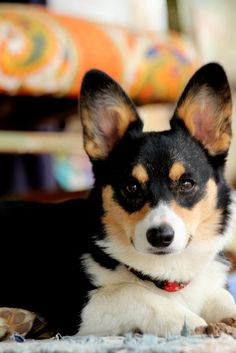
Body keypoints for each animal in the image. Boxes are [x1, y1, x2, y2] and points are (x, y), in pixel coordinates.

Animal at [0, 62, 234, 336]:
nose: (160, 237)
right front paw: (195, 324)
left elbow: (223, 297)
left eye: (186, 183)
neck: (163, 276)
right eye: (130, 187)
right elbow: (133, 293)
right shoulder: (78, 306)